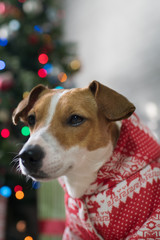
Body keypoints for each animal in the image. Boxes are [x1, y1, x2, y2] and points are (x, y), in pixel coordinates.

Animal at [12, 81, 160, 239]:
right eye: (31, 119)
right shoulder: (75, 231)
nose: (26, 155)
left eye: (76, 119)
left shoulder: (145, 230)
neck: (81, 183)